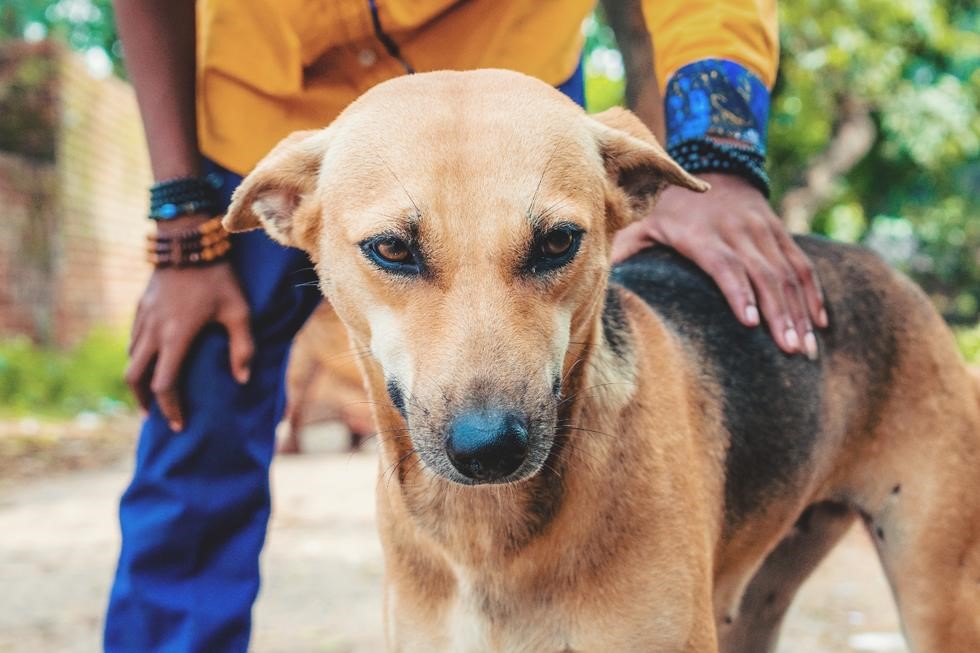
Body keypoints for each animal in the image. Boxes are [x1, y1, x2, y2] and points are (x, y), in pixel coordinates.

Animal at [224, 71, 980, 652]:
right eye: (390, 249)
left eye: (559, 241)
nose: (489, 448)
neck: (486, 540)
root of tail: (876, 261)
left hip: (941, 593)